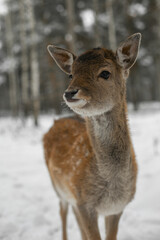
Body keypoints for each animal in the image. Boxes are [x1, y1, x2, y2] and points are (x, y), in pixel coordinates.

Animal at [42, 33, 141, 240]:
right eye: (71, 74)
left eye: (105, 73)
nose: (70, 92)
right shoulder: (84, 202)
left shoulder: (117, 207)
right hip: (58, 188)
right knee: (62, 211)